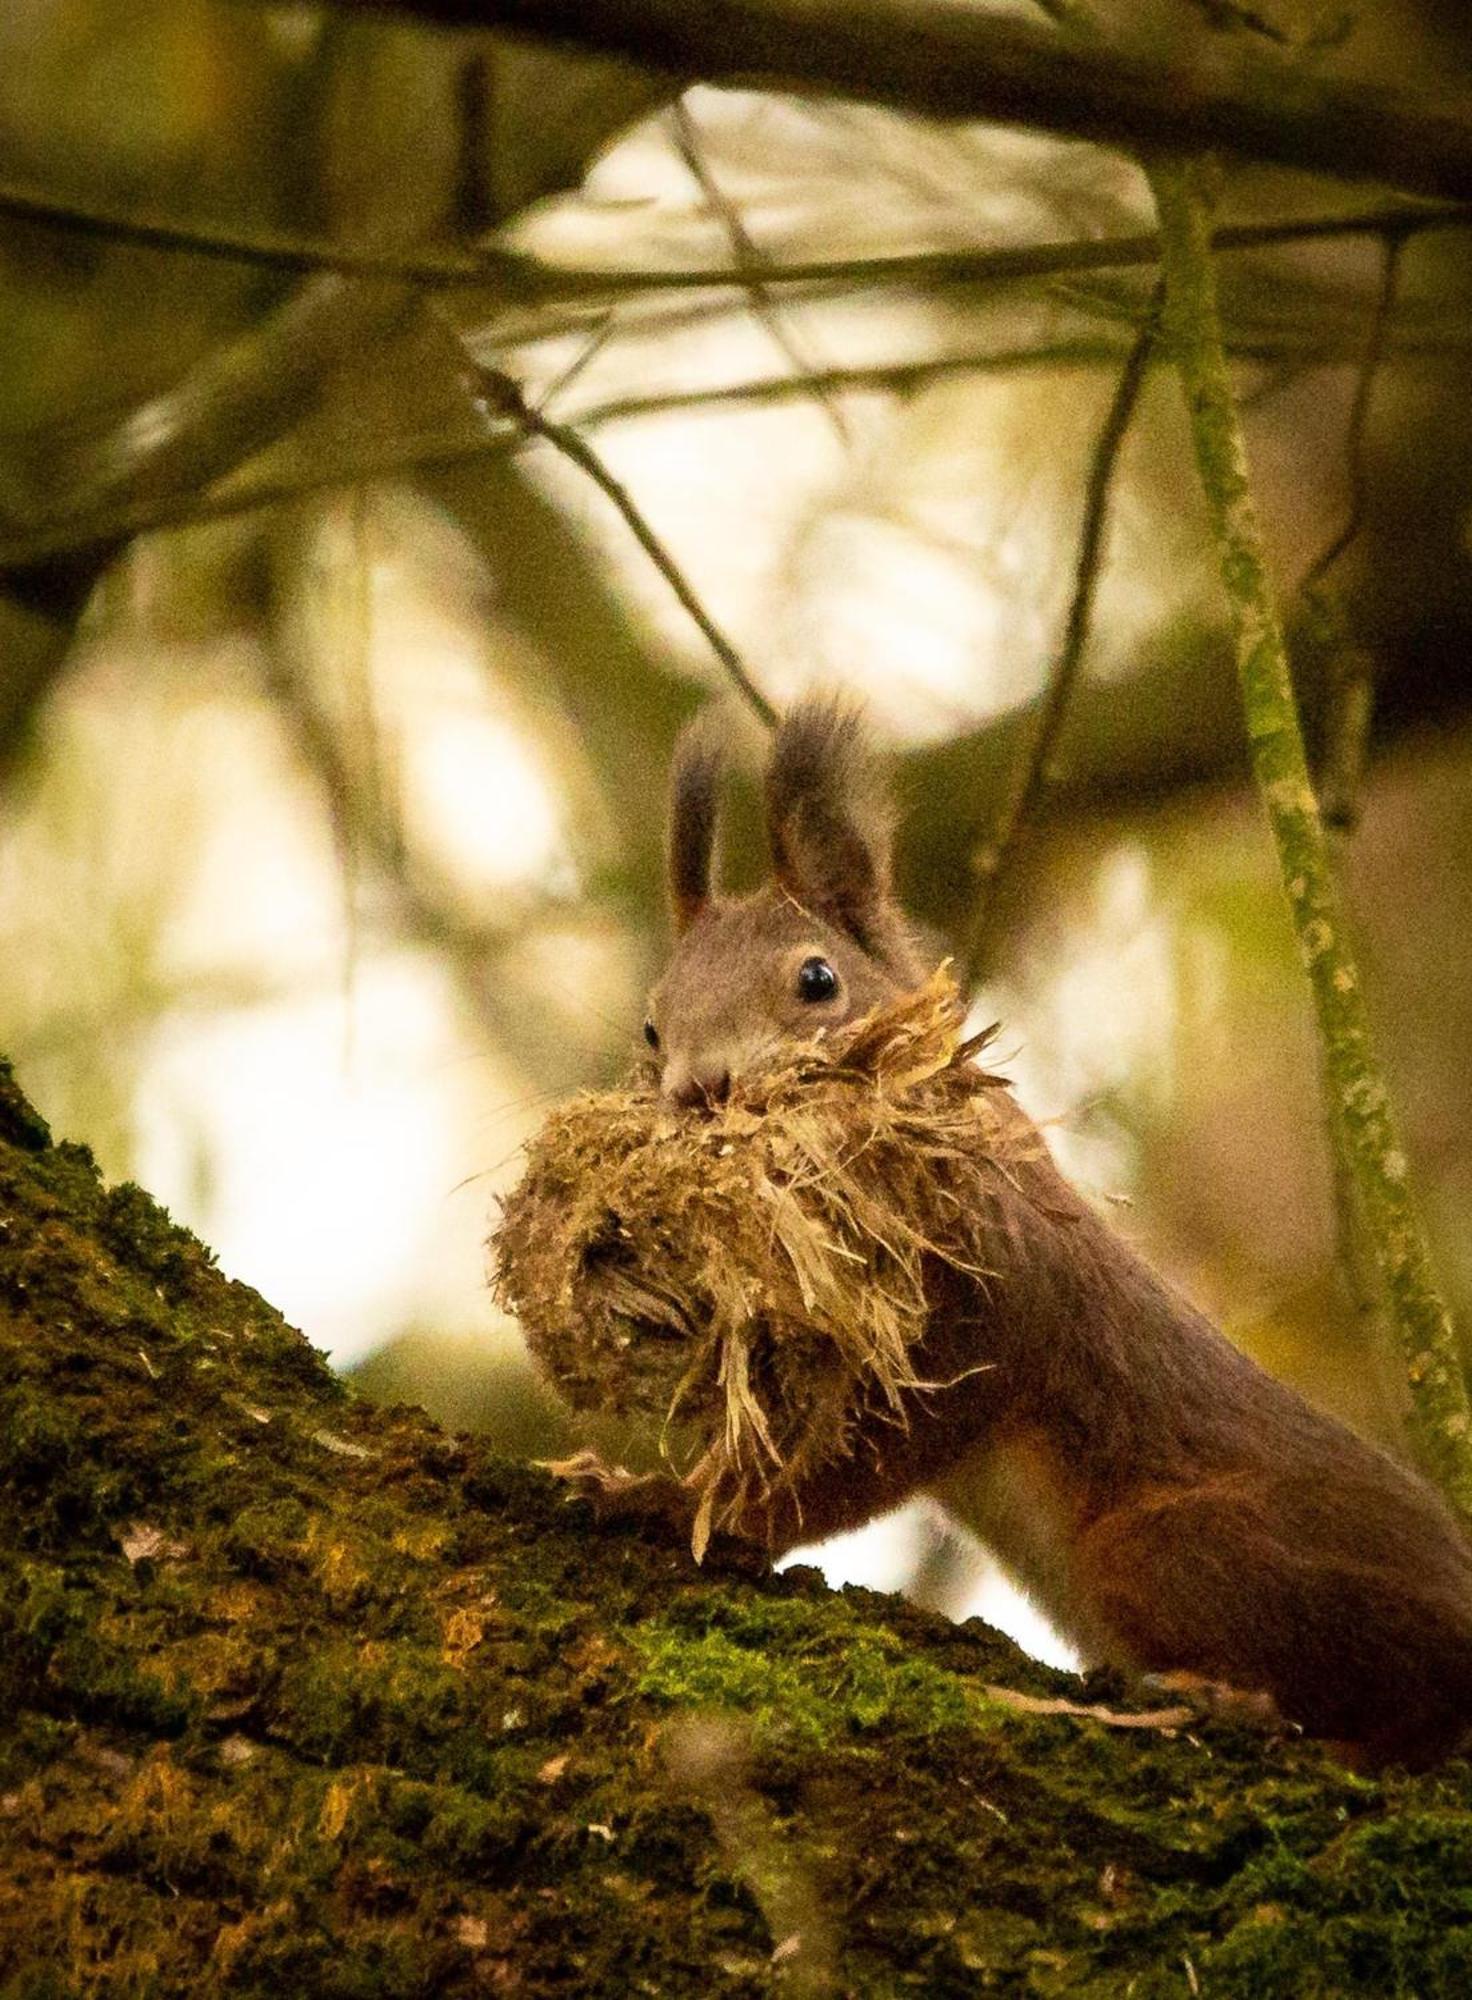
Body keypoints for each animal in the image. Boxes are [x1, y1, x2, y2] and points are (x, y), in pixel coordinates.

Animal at [572, 696, 1472, 1760]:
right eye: (651, 1026)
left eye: (818, 980)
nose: (700, 1089)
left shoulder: (987, 1305)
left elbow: (862, 1460)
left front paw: (693, 1505)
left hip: (1182, 1551)